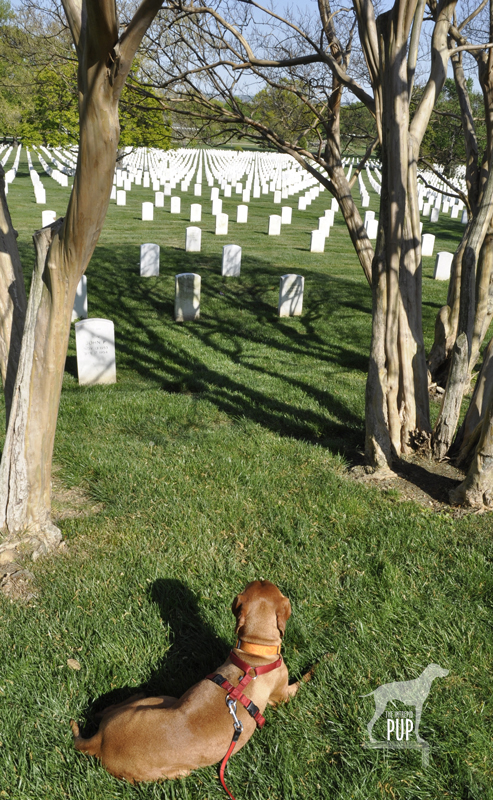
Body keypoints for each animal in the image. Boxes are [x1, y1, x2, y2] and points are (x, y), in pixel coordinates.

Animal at [70, 580, 298, 780]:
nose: (262, 578)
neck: (254, 654)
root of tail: (98, 742)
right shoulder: (282, 695)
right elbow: (299, 683)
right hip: (171, 730)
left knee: (107, 710)